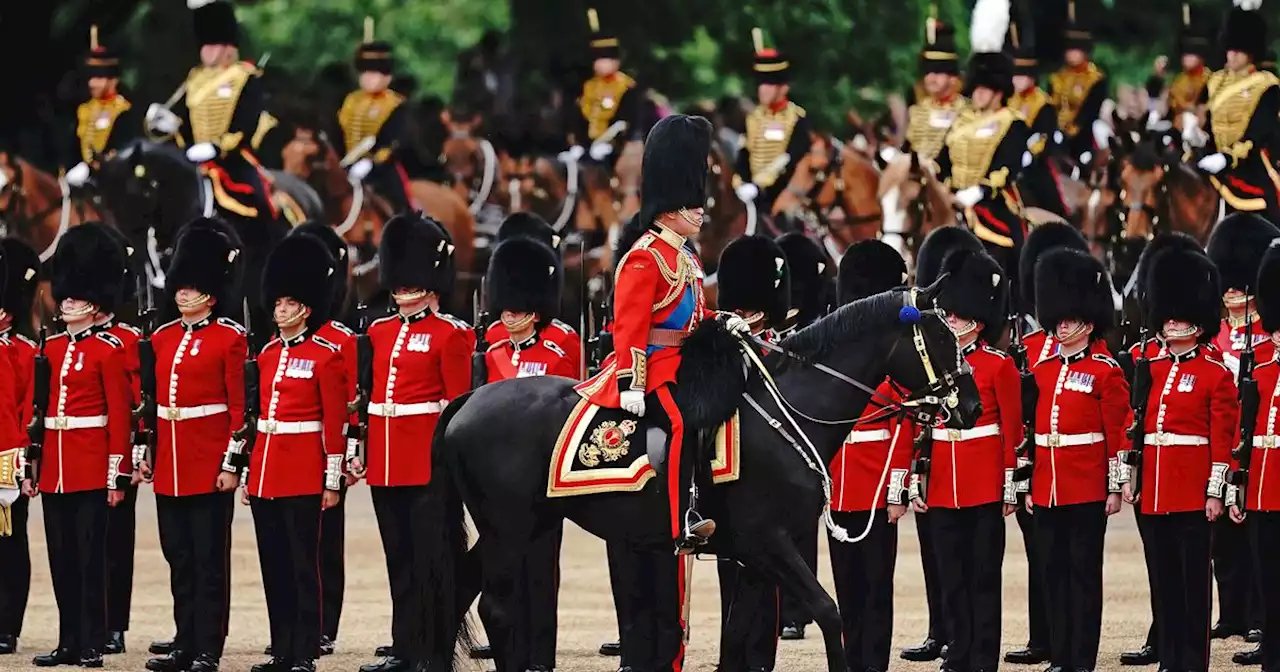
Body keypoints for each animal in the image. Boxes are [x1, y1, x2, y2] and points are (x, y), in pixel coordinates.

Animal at [419, 281, 977, 670]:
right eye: (941, 338)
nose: (970, 406)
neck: (788, 414)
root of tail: (470, 397)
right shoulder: (769, 542)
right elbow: (828, 611)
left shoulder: (753, 557)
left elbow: (737, 635)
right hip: (509, 529)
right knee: (495, 607)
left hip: (522, 526)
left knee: (460, 591)